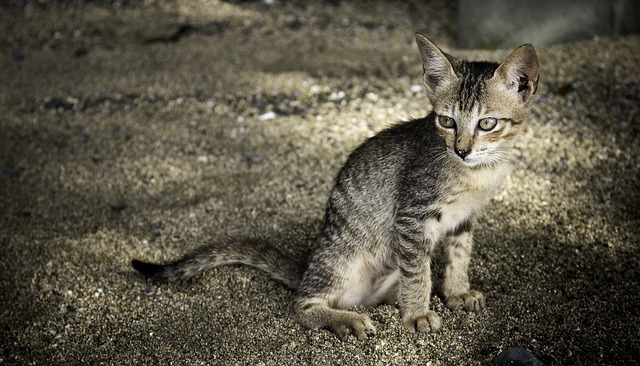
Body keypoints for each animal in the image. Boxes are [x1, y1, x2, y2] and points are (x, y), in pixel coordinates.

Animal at [131, 33, 540, 340]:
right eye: (446, 121)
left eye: (487, 123)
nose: (462, 149)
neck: (477, 172)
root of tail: (308, 267)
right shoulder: (412, 215)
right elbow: (418, 273)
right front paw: (417, 315)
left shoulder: (464, 218)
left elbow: (458, 256)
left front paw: (455, 292)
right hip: (342, 257)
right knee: (304, 303)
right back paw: (346, 319)